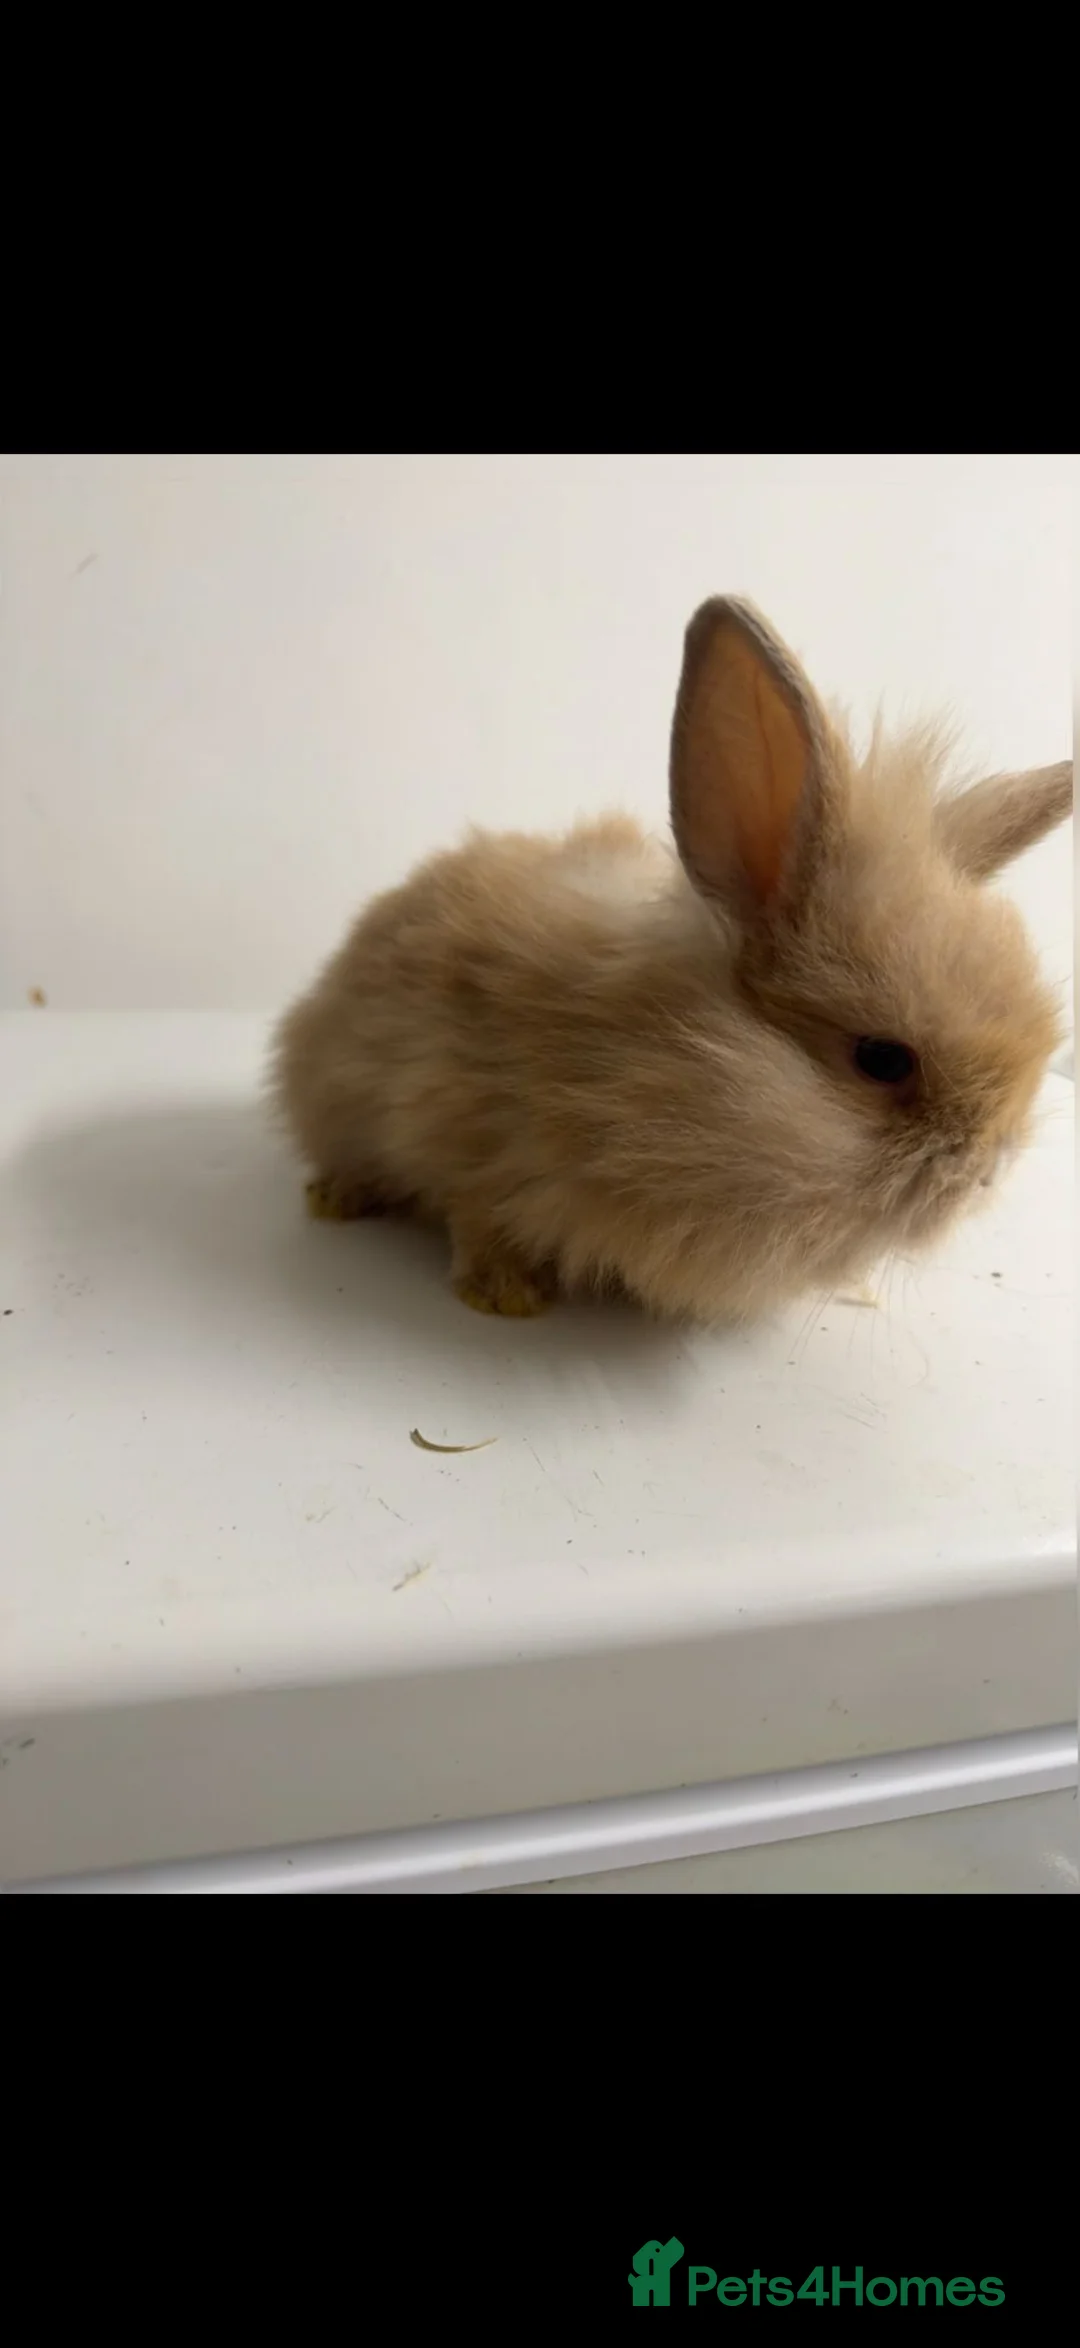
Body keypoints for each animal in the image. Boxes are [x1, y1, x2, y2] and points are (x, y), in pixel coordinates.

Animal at [271, 597, 1072, 1322]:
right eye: (880, 1059)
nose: (988, 1168)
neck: (639, 1069)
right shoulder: (455, 1120)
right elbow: (476, 1214)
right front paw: (504, 1297)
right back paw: (335, 1198)